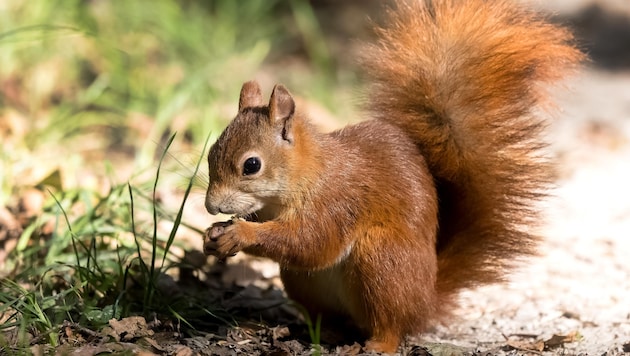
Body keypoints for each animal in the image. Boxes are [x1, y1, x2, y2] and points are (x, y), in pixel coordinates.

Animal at [201, 0, 584, 352]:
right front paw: (212, 236)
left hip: (382, 261)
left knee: (392, 323)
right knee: (329, 316)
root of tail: (426, 301)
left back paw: (377, 344)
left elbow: (311, 242)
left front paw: (240, 233)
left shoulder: (338, 202)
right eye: (210, 152)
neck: (305, 177)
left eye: (251, 165)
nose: (210, 206)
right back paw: (320, 332)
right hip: (302, 282)